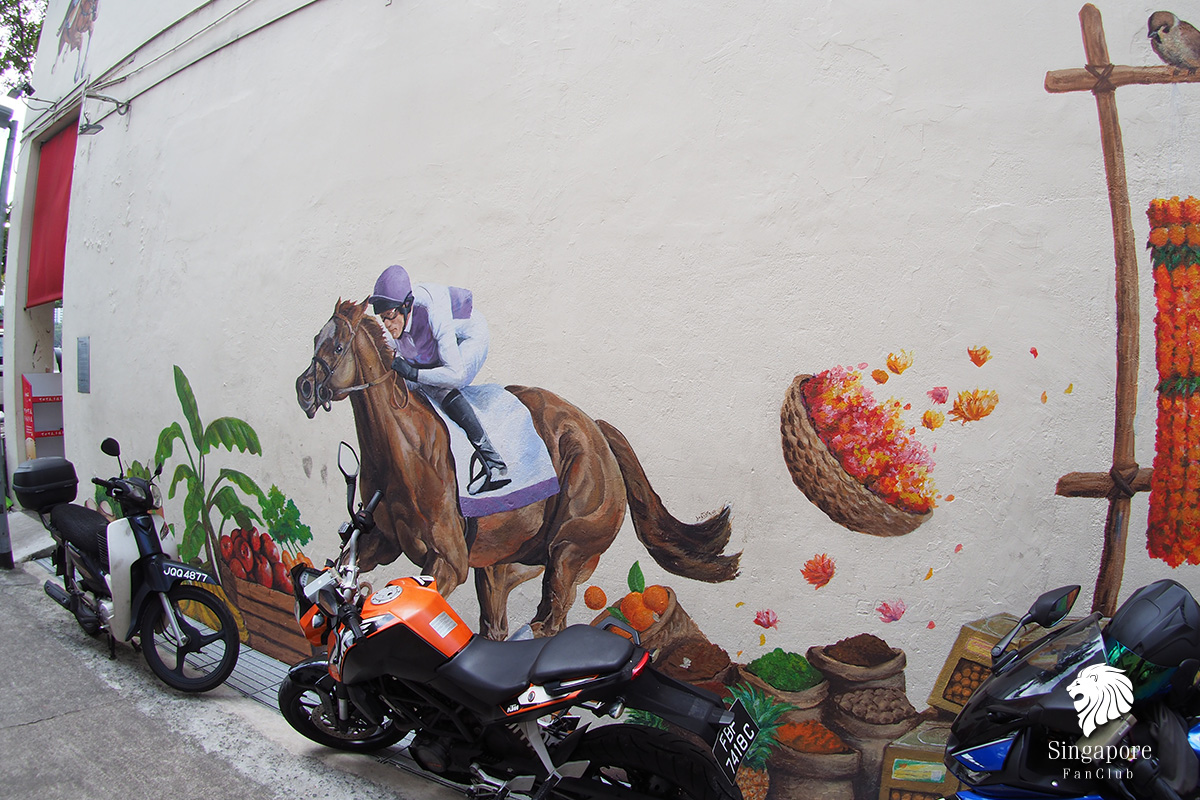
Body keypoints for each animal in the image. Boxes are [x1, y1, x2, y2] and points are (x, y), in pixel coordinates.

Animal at [296, 299, 740, 639]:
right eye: (315, 339)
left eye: (337, 346)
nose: (303, 389)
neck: (405, 451)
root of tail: (597, 429)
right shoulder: (381, 541)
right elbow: (340, 570)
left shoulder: (449, 562)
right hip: (515, 553)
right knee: (507, 614)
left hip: (569, 545)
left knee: (553, 616)